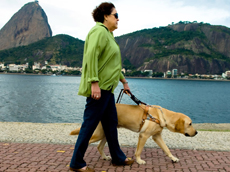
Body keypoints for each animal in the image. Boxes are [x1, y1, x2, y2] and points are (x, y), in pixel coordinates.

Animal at [70, 103, 198, 164]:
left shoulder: (157, 136)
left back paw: (105, 157)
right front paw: (139, 161)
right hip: (100, 133)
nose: (196, 132)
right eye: (190, 124)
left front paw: (173, 158)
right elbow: (139, 151)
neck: (162, 116)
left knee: (99, 146)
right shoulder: (143, 136)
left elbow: (167, 149)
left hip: (107, 132)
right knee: (83, 141)